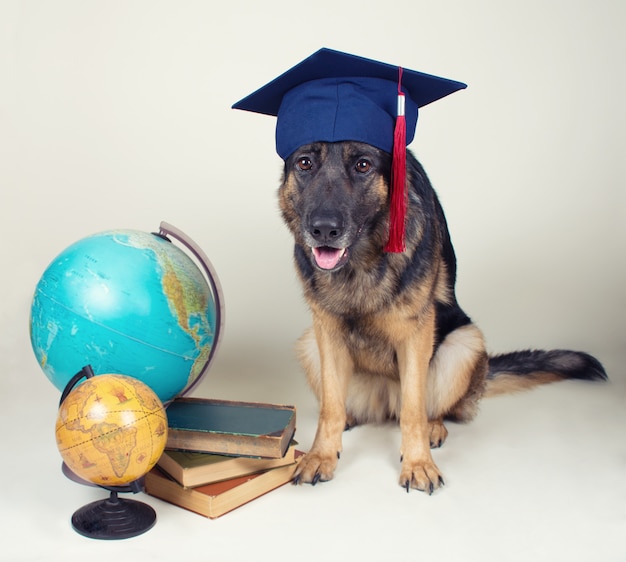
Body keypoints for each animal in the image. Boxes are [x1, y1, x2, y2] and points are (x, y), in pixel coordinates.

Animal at [280, 140, 604, 490]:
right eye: (305, 163)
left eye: (363, 165)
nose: (324, 230)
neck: (361, 263)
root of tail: (386, 400)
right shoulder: (327, 331)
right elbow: (330, 407)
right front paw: (321, 455)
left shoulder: (416, 334)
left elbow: (413, 409)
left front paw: (417, 463)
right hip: (309, 345)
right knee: (343, 402)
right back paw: (353, 417)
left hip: (464, 344)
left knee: (428, 406)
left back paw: (433, 427)